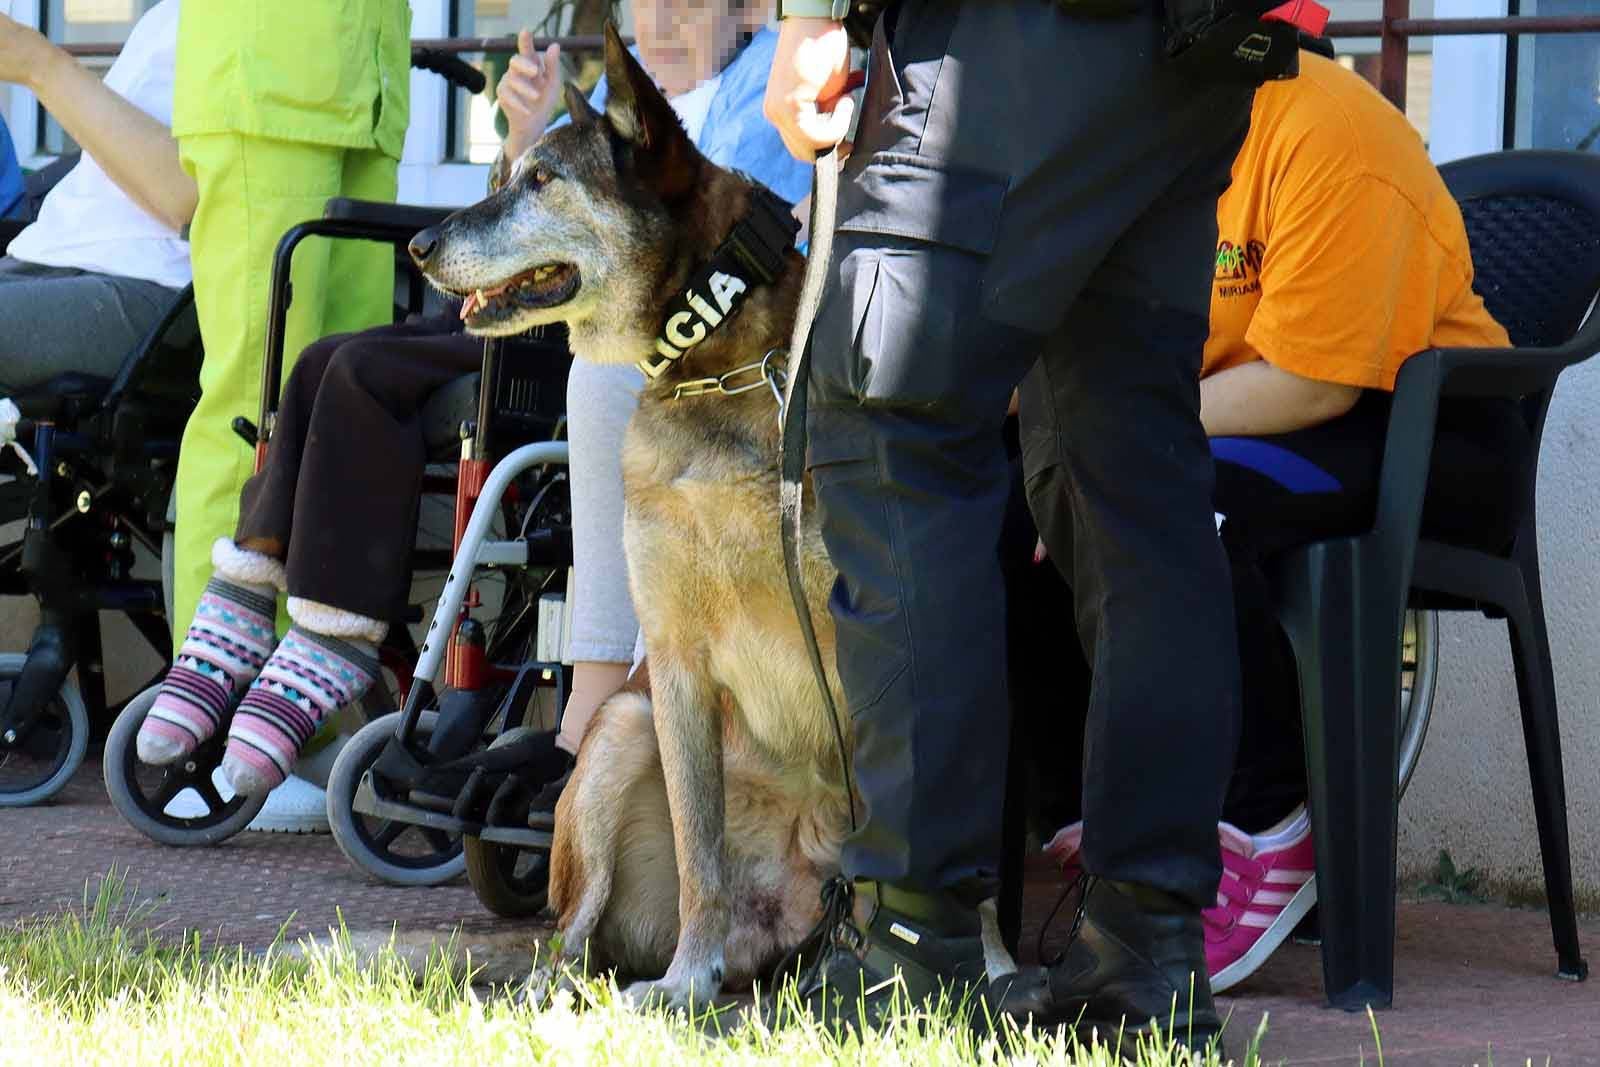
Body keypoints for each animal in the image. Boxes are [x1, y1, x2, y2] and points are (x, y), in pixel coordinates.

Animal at [412, 24, 1011, 1011]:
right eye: (510, 175)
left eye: (542, 181)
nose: (420, 241)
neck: (719, 366)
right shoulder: (677, 662)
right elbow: (702, 856)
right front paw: (685, 983)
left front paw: (995, 971)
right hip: (620, 730)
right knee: (573, 934)